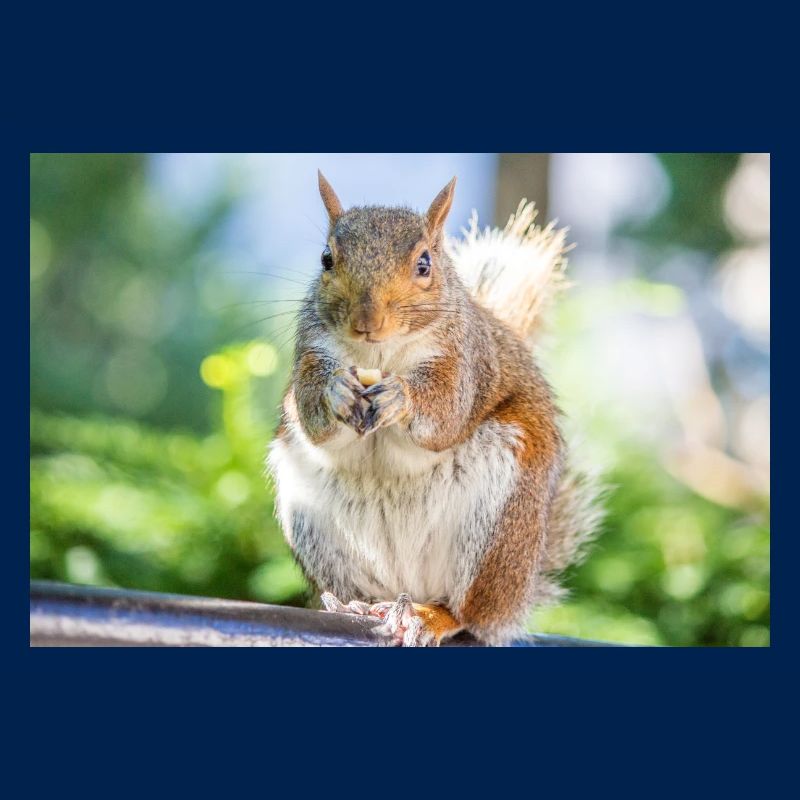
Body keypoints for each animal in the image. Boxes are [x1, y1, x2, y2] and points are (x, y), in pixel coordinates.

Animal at [267, 171, 601, 646]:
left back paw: (429, 616)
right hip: (317, 528)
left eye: (424, 264)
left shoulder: (465, 363)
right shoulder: (312, 352)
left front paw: (401, 396)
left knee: (468, 611)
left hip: (498, 530)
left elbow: (445, 414)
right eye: (327, 259)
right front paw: (336, 391)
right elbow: (313, 419)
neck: (381, 355)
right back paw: (358, 605)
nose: (367, 322)